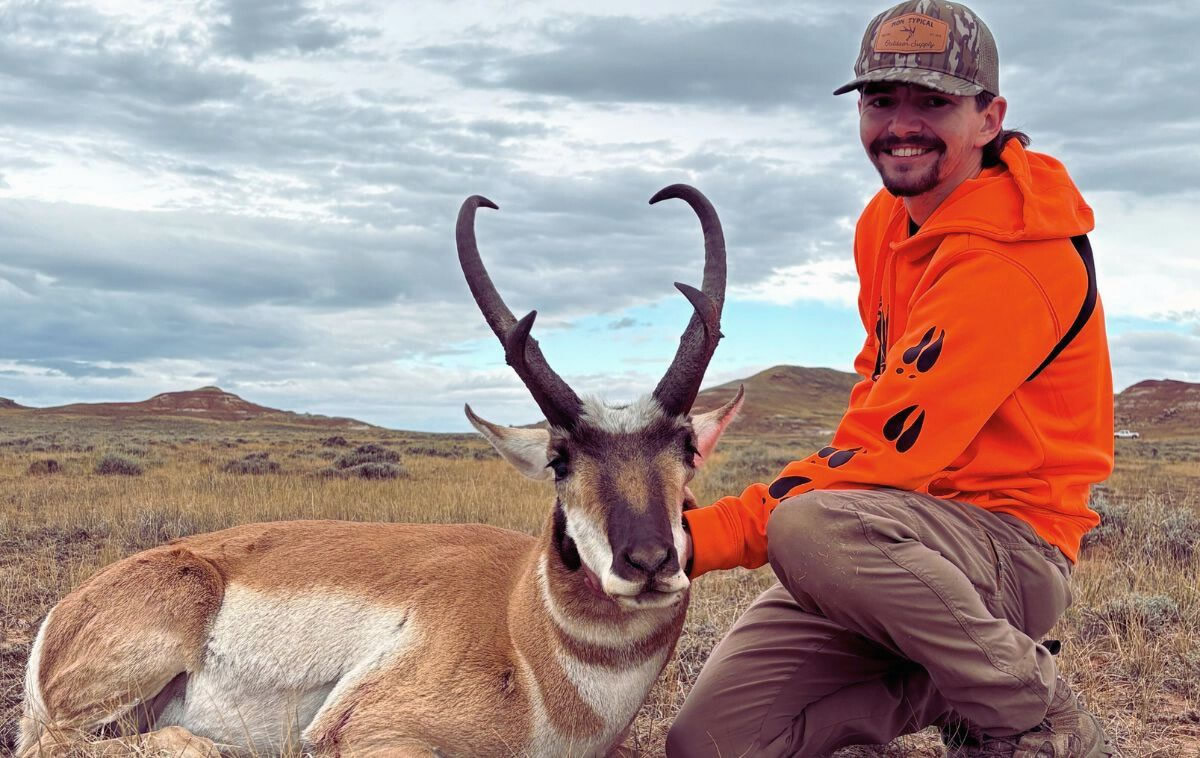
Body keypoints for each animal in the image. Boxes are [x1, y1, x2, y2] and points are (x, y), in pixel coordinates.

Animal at [17, 184, 743, 758]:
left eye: (687, 448)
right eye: (560, 460)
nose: (648, 561)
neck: (521, 623)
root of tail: (67, 610)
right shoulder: (371, 734)